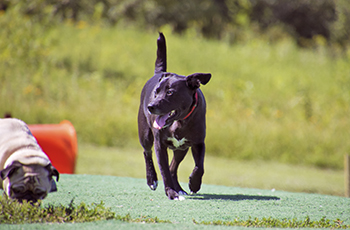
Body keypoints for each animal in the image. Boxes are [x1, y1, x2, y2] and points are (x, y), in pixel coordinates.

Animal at [138, 32, 212, 199]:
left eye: (170, 92)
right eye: (156, 92)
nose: (151, 107)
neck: (179, 122)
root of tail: (159, 73)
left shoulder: (198, 143)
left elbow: (200, 166)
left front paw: (194, 184)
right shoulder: (160, 145)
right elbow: (164, 170)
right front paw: (171, 193)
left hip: (181, 149)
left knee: (173, 167)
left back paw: (180, 188)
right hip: (145, 135)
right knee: (147, 152)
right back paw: (152, 180)